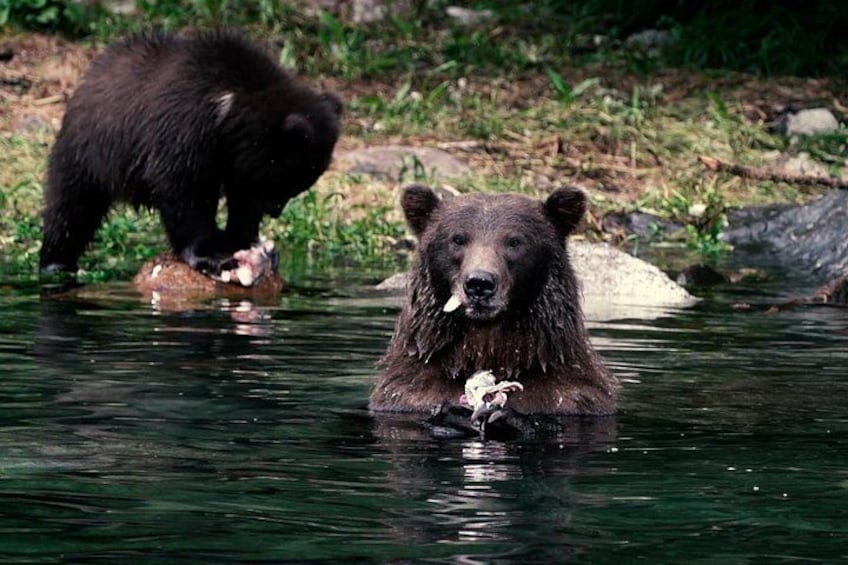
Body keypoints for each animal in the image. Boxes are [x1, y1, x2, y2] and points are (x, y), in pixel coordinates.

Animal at [39, 29, 342, 277]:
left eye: (297, 186)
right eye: (284, 183)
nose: (275, 211)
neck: (227, 115)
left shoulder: (235, 160)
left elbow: (240, 198)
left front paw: (246, 241)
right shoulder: (185, 126)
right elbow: (181, 188)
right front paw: (210, 254)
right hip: (90, 149)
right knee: (72, 205)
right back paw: (56, 262)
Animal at [370, 185, 618, 425]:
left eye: (515, 241)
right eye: (457, 239)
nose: (479, 283)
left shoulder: (569, 396)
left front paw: (504, 416)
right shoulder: (411, 392)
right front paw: (454, 413)